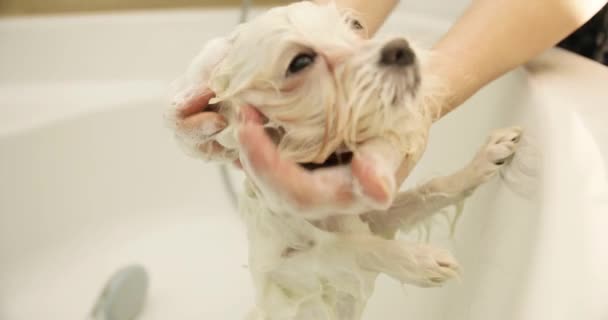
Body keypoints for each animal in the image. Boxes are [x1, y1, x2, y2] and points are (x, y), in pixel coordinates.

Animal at [167, 3, 524, 320]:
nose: (401, 48)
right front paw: (419, 260)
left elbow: (429, 192)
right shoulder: (281, 268)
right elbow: (344, 247)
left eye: (355, 25)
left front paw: (485, 160)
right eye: (300, 61)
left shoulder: (376, 219)